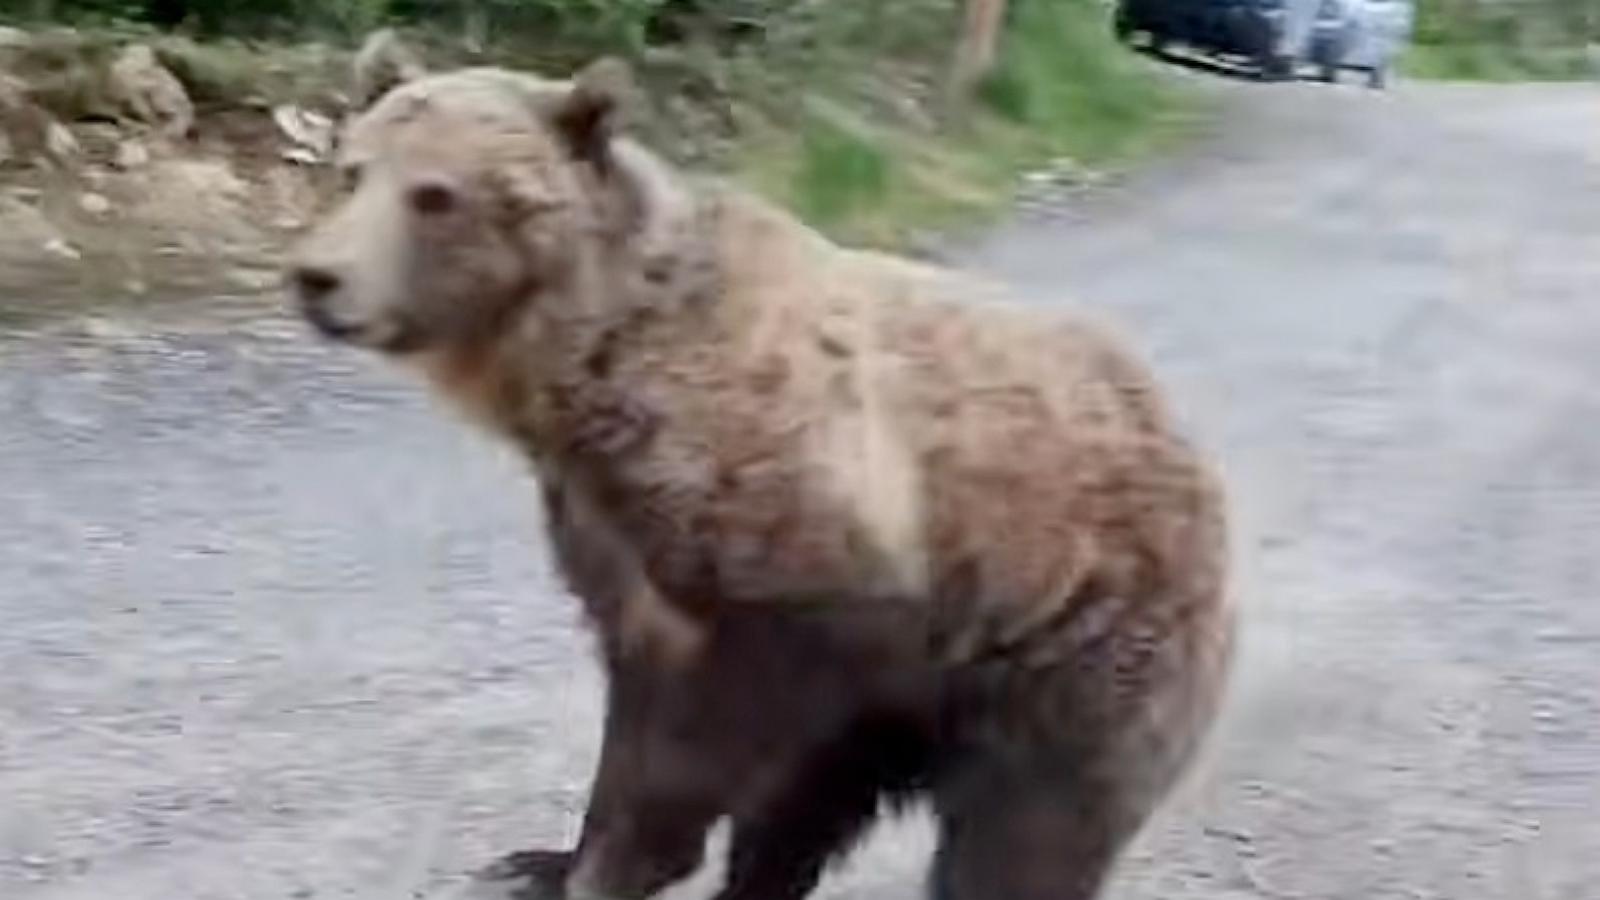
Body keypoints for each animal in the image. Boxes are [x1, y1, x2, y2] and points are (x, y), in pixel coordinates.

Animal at [287, 59, 1234, 900]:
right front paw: (550, 858)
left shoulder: (801, 548)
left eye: (435, 193)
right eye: (353, 169)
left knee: (1023, 837)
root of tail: (1191, 450)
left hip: (1076, 649)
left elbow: (716, 724)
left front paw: (621, 859)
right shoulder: (608, 529)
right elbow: (636, 695)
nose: (318, 278)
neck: (583, 372)